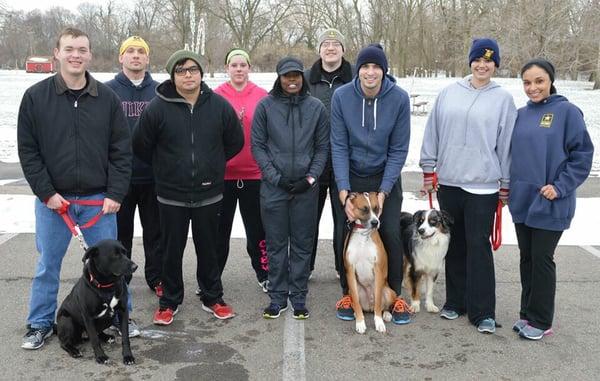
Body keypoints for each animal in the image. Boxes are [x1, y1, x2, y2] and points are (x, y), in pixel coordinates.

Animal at [344, 191, 396, 332]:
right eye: (364, 209)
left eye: (376, 208)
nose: (375, 222)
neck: (364, 235)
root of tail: (369, 307)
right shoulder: (350, 271)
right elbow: (356, 302)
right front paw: (360, 322)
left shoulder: (378, 270)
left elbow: (378, 301)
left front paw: (378, 322)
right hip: (351, 290)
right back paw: (356, 313)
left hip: (389, 292)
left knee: (384, 306)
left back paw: (386, 314)